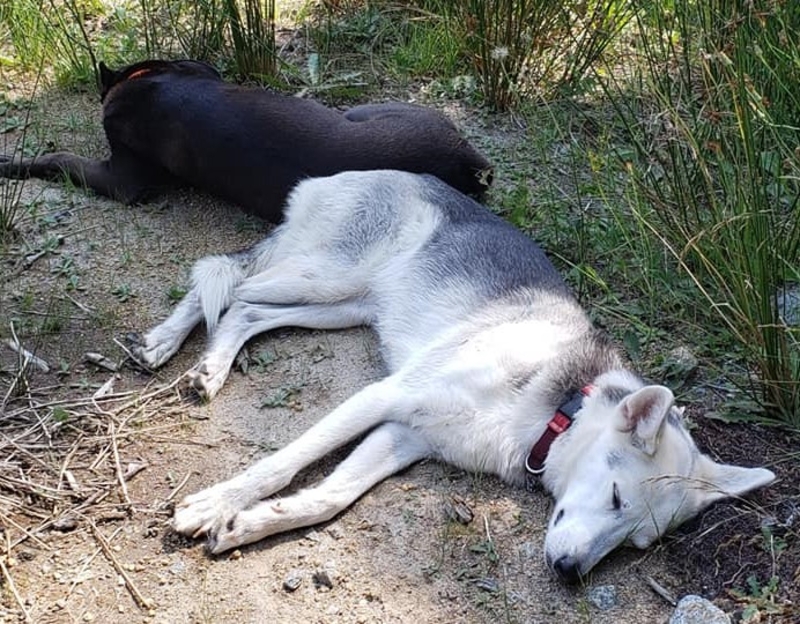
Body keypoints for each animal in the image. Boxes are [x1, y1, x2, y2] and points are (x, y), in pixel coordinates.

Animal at [0, 60, 490, 222]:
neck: (142, 79)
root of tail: (467, 159)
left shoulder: (123, 180)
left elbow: (58, 157)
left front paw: (13, 162)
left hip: (370, 109)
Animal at [131, 169, 776, 580]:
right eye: (617, 497)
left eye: (638, 541)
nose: (570, 574)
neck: (555, 409)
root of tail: (346, 173)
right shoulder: (384, 396)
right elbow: (282, 464)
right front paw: (215, 504)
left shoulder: (406, 436)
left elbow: (329, 498)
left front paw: (250, 523)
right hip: (325, 277)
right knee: (228, 281)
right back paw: (165, 343)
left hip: (342, 306)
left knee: (244, 309)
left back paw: (209, 368)